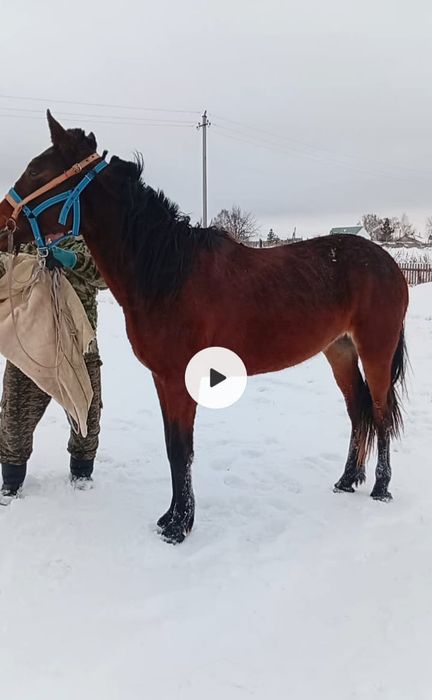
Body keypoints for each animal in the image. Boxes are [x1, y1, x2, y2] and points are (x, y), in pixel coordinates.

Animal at [0, 112, 409, 543]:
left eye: (35, 171)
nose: (1, 219)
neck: (167, 271)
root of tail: (389, 264)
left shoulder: (179, 378)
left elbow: (181, 449)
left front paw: (179, 526)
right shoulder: (162, 378)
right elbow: (173, 446)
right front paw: (171, 517)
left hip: (376, 351)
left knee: (380, 412)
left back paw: (381, 487)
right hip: (340, 350)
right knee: (357, 411)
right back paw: (347, 480)